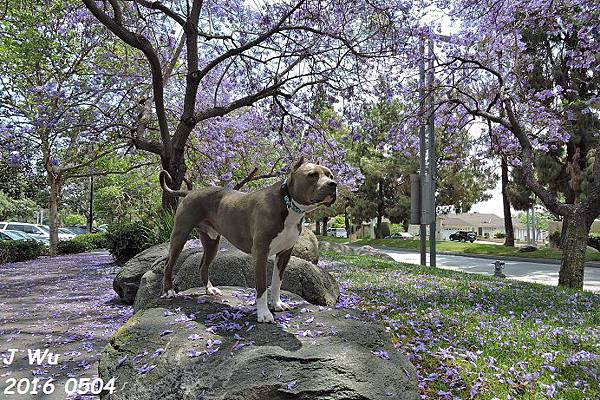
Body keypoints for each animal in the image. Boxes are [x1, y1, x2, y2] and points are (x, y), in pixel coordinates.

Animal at [159, 158, 338, 324]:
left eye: (330, 175)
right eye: (312, 175)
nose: (333, 184)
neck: (288, 204)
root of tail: (190, 192)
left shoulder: (285, 253)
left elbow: (277, 282)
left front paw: (277, 304)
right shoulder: (260, 253)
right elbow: (261, 286)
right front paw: (264, 313)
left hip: (211, 242)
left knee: (203, 265)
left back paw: (210, 290)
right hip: (180, 235)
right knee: (169, 264)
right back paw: (168, 291)